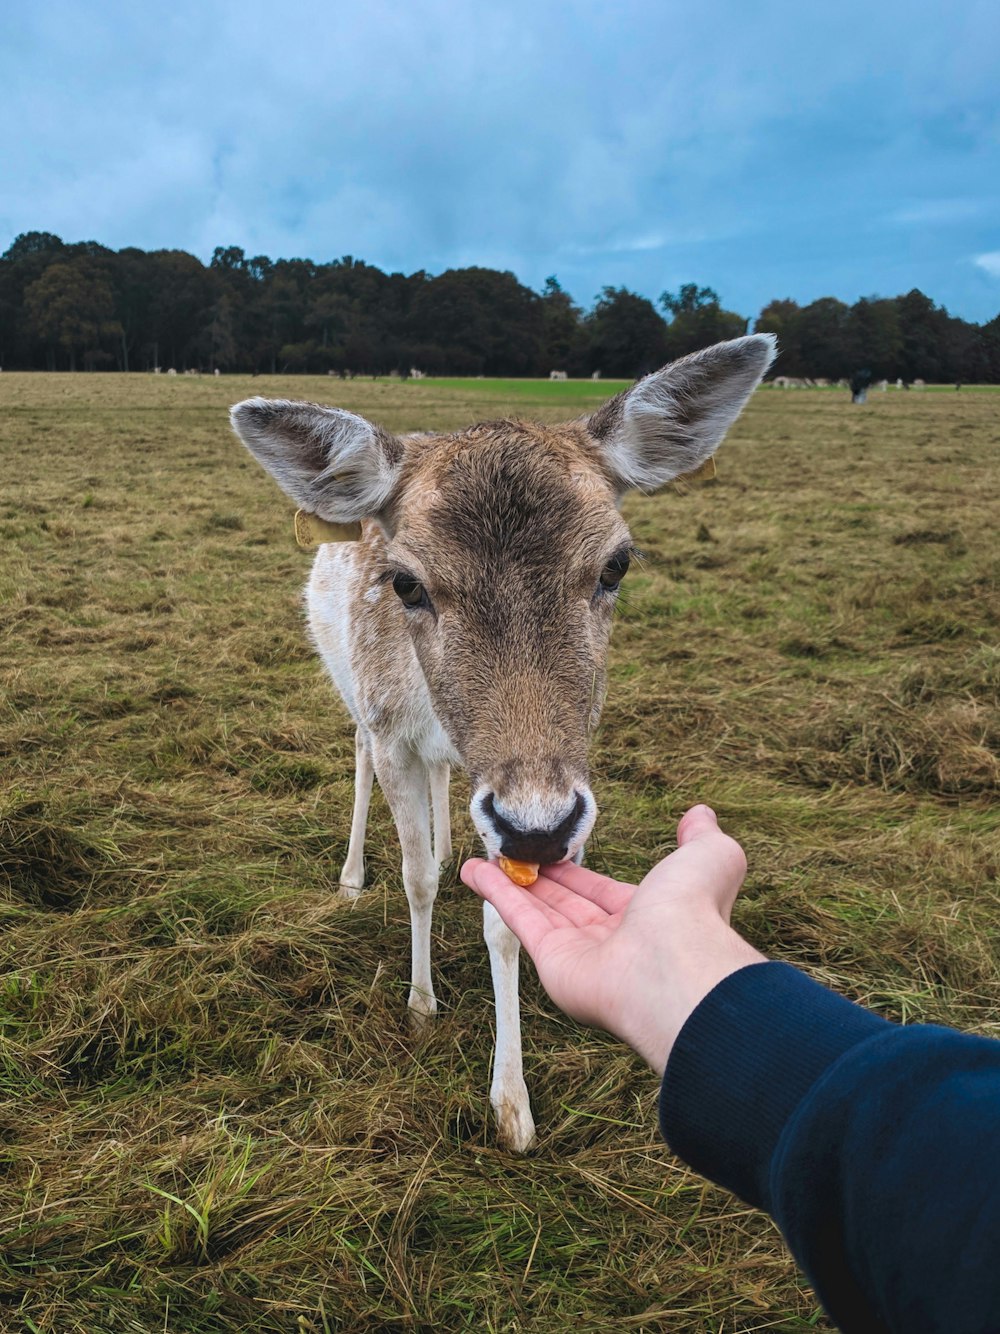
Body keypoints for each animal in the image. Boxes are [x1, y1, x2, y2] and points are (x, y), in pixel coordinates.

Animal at [230, 330, 778, 1147]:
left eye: (617, 564)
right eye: (405, 583)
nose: (541, 832)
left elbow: (506, 924)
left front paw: (512, 1104)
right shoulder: (395, 733)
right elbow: (415, 878)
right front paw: (421, 1005)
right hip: (354, 695)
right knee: (358, 759)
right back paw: (353, 877)